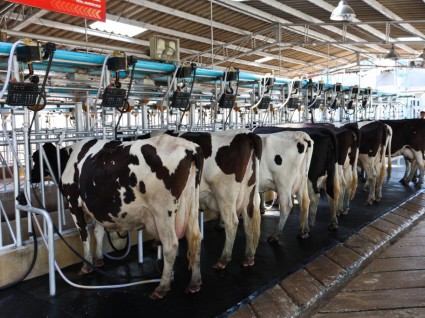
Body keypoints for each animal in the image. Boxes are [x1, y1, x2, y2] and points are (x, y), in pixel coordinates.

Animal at [32, 135, 203, 300]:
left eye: (35, 158)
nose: (32, 177)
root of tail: (191, 148)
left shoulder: (74, 203)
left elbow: (85, 235)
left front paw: (87, 265)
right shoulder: (97, 207)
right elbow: (98, 232)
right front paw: (99, 259)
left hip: (162, 211)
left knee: (171, 245)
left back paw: (162, 287)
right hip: (191, 205)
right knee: (194, 239)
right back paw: (194, 282)